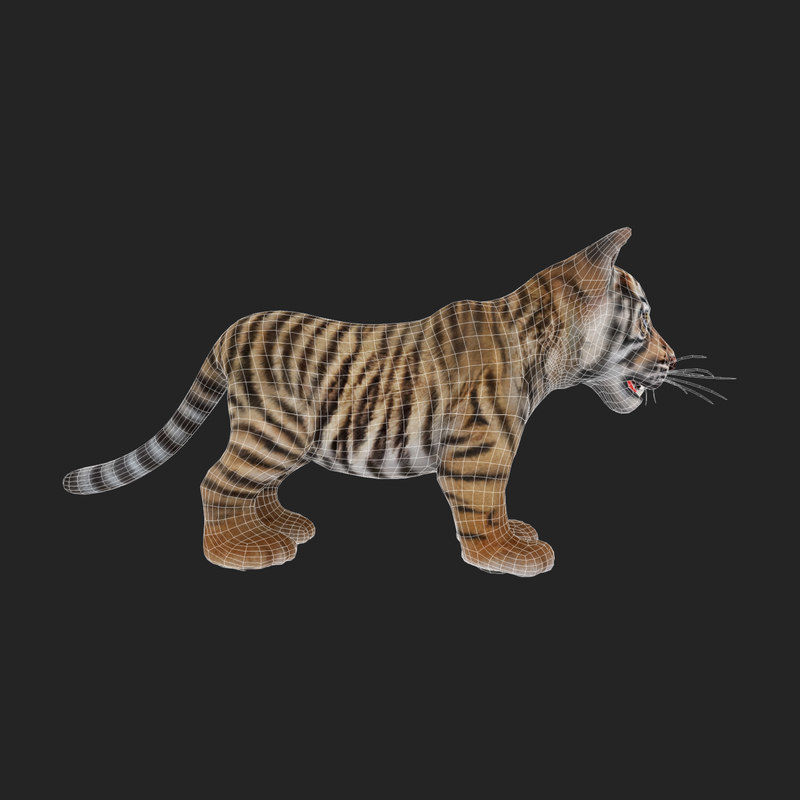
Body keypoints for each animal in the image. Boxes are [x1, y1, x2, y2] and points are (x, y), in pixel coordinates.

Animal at [64, 228, 677, 577]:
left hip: (278, 437)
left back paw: (279, 528)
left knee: (250, 485)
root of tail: (234, 328)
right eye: (645, 322)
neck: (544, 348)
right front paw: (506, 553)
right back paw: (237, 550)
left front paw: (515, 537)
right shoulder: (477, 453)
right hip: (275, 430)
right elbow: (484, 503)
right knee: (217, 481)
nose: (672, 359)